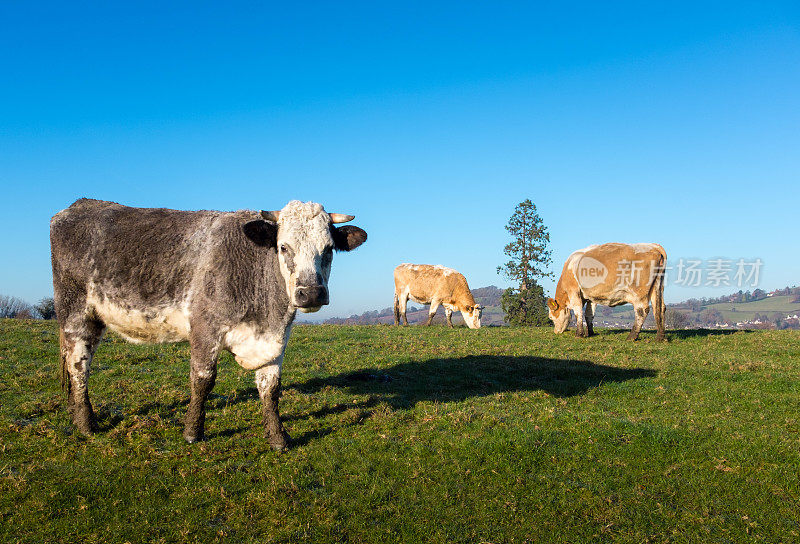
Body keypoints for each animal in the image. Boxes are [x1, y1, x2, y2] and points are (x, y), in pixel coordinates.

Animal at [47, 198, 366, 448]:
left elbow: (271, 389)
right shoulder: (204, 327)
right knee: (78, 366)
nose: (311, 292)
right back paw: (86, 424)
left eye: (329, 249)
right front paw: (192, 432)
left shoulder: (276, 340)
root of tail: (79, 206)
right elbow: (203, 381)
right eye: (283, 247)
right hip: (75, 314)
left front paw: (278, 438)